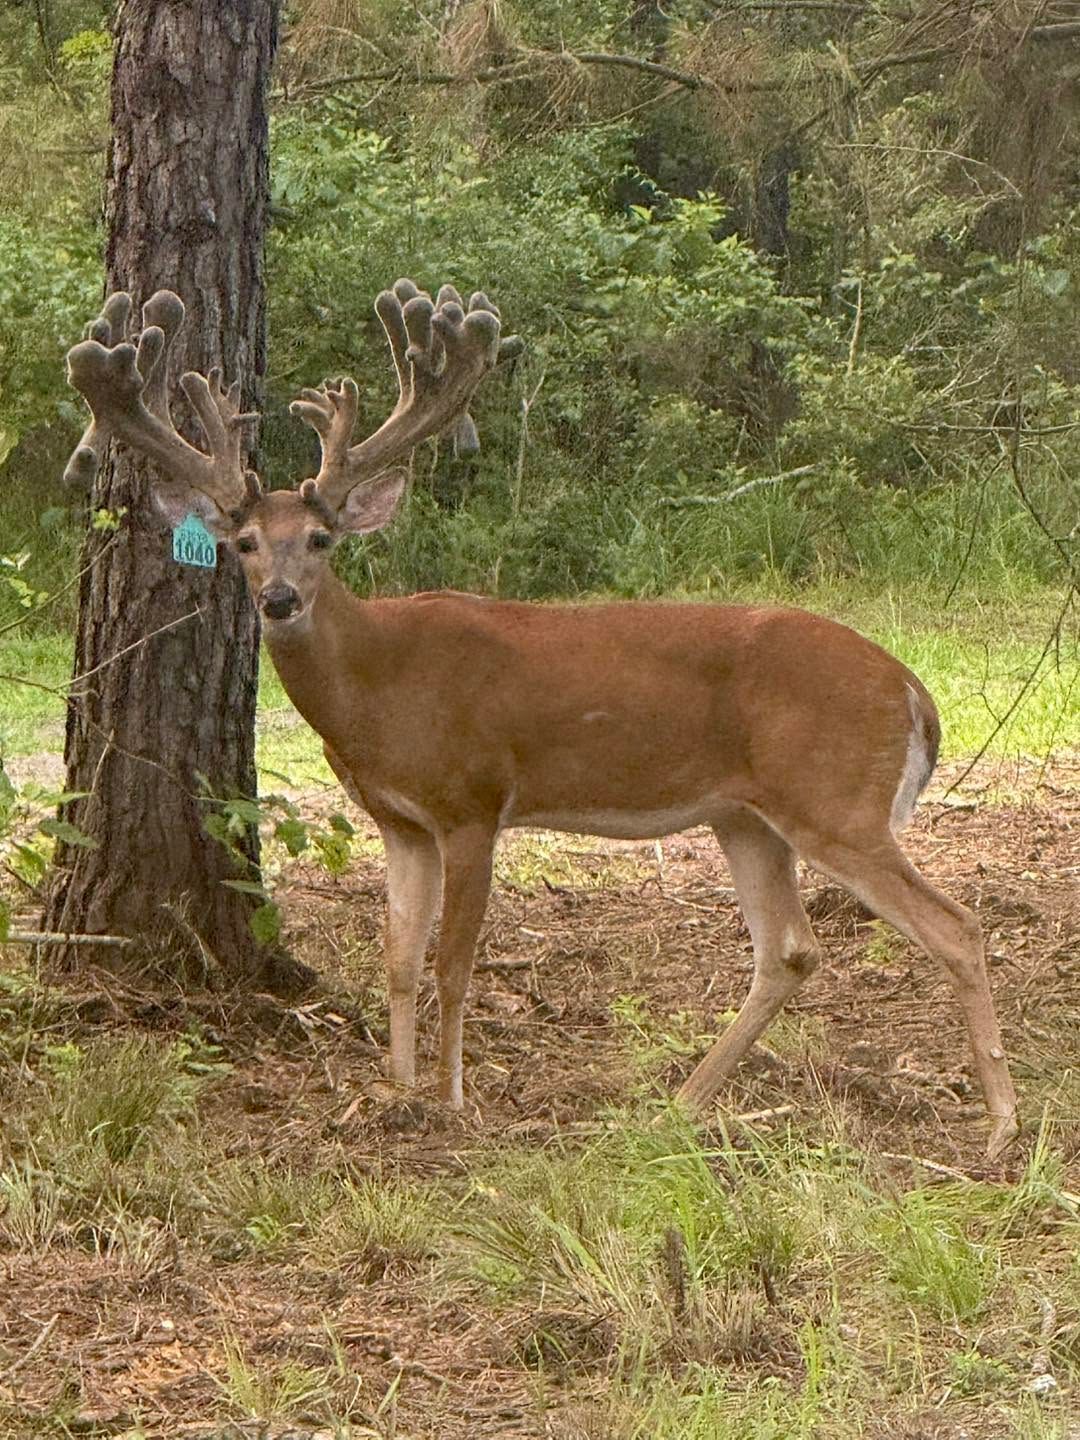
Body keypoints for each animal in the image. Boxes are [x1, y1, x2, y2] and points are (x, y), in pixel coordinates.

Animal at [62, 278, 1020, 1160]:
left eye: (322, 539)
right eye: (243, 542)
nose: (280, 601)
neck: (379, 684)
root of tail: (911, 689)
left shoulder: (474, 800)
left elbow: (453, 964)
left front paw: (450, 1101)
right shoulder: (400, 822)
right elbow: (397, 959)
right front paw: (394, 1092)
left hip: (835, 799)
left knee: (957, 927)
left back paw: (1003, 1125)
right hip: (747, 816)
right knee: (790, 949)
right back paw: (679, 1104)